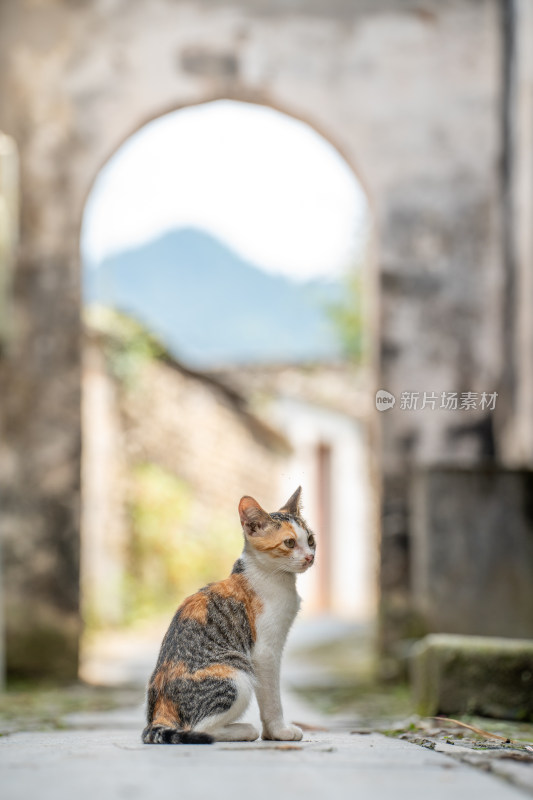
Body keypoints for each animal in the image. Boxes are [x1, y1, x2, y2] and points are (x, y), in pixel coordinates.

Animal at [142, 484, 316, 748]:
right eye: (289, 542)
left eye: (311, 540)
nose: (310, 557)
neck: (270, 576)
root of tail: (158, 713)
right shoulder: (264, 652)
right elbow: (272, 698)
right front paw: (278, 731)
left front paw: (271, 733)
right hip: (237, 672)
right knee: (200, 729)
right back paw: (245, 729)